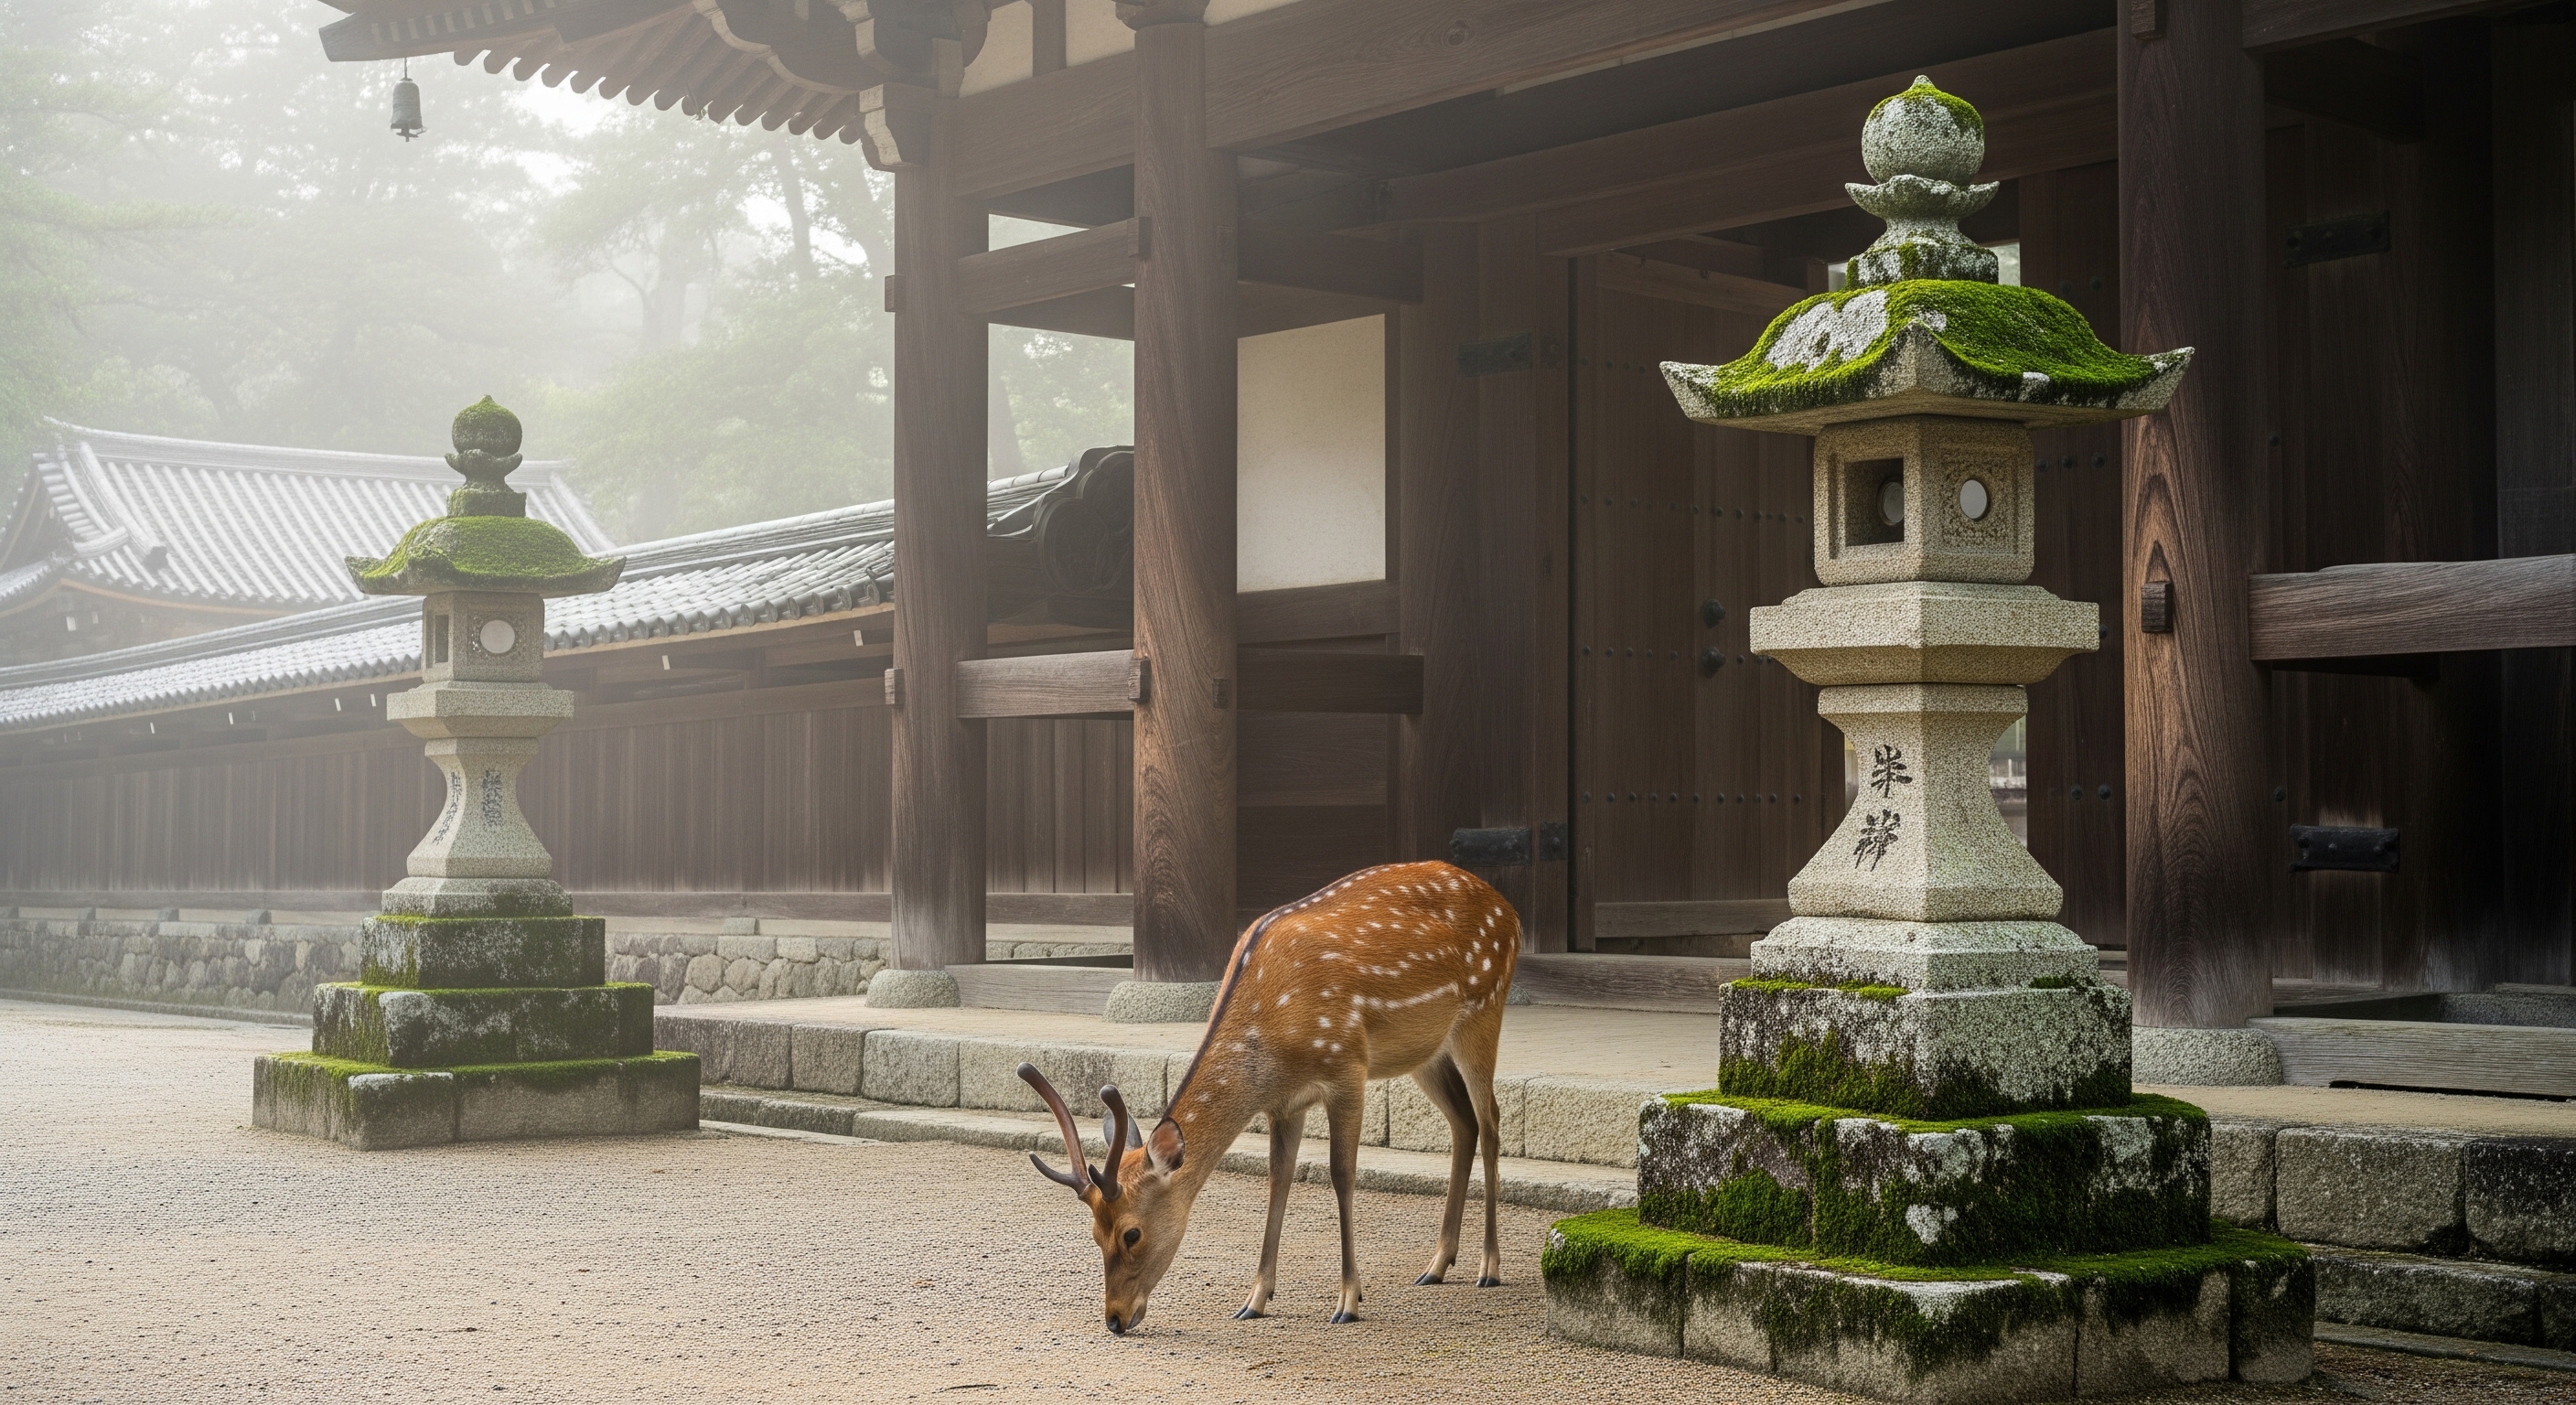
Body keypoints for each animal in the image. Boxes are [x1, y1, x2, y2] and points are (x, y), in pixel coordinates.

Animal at [1017, 860, 1521, 1335]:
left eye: (1131, 1233)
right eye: (1094, 1234)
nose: (1115, 1320)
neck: (1272, 1048)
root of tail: (1510, 910)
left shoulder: (1347, 1067)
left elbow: (1342, 1176)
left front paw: (1348, 1302)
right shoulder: (1285, 1102)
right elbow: (1279, 1180)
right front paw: (1254, 1300)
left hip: (1485, 1008)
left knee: (1492, 1121)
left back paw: (1489, 1267)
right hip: (1425, 1051)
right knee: (1464, 1122)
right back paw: (1437, 1265)